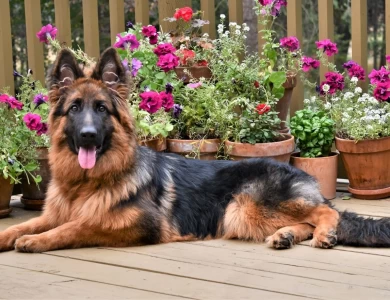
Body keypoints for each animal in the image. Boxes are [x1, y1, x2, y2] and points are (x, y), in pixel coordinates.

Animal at [0, 48, 390, 253]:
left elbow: (76, 227)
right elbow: (28, 224)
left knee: (326, 213)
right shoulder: (56, 212)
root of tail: (303, 175)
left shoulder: (133, 224)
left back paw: (324, 233)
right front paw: (15, 235)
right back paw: (286, 236)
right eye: (74, 109)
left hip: (244, 205)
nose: (88, 136)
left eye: (100, 109)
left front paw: (36, 240)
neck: (84, 183)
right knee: (308, 219)